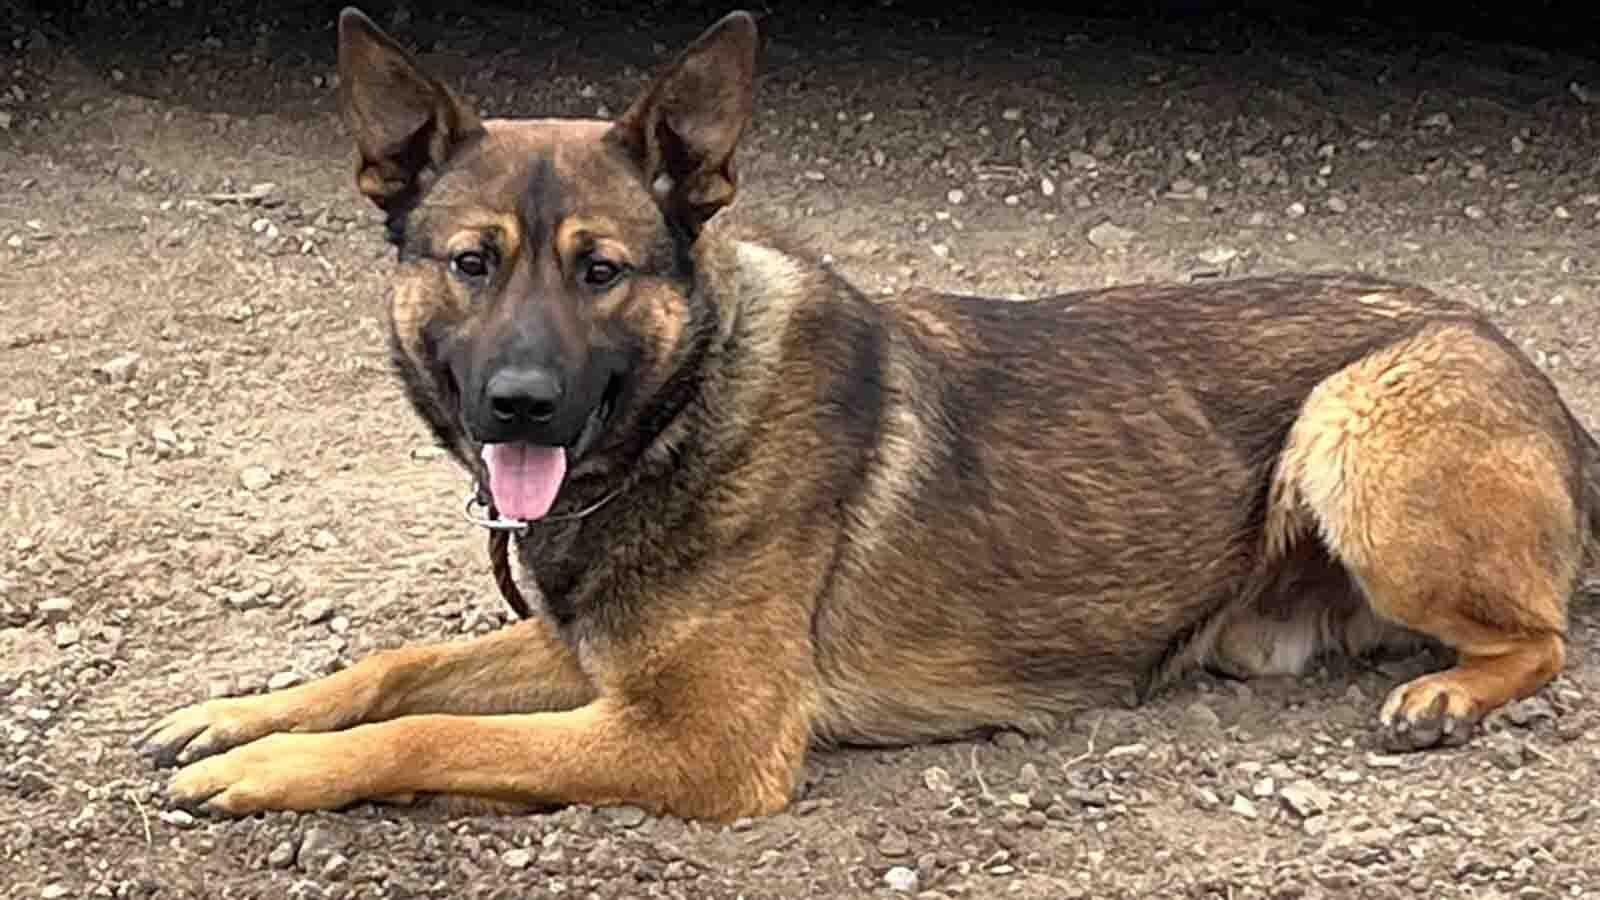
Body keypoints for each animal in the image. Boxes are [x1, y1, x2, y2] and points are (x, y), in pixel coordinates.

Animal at [134, 7, 1600, 819]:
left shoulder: (694, 740)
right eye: (472, 262)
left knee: (1537, 635)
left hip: (1357, 425)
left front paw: (263, 773)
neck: (692, 408)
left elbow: (425, 729)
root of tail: (1523, 364)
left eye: (601, 271)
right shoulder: (588, 659)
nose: (522, 405)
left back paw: (1451, 694)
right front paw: (242, 716)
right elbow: (393, 672)